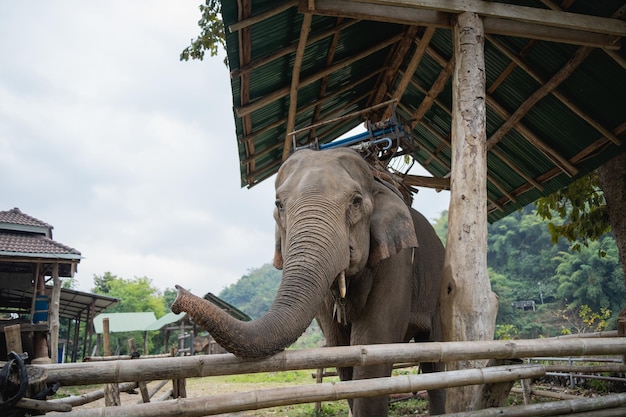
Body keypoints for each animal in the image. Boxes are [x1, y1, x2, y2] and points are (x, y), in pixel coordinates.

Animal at [171, 146, 444, 412]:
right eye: (279, 204)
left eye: (356, 202)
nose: (177, 296)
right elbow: (342, 353)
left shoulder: (398, 261)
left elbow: (372, 350)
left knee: (436, 356)